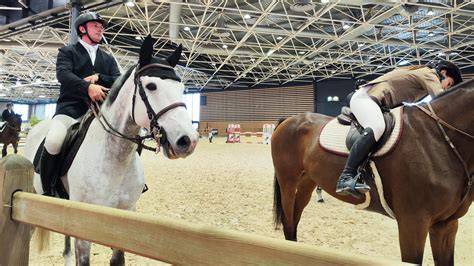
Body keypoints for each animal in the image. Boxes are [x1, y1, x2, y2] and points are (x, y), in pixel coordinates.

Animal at [23, 35, 198, 266]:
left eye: (182, 88)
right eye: (151, 86)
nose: (188, 140)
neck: (115, 158)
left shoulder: (123, 217)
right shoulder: (85, 224)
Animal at [272, 80, 472, 264]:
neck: (438, 138)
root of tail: (289, 119)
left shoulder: (445, 225)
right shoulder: (413, 223)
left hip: (307, 182)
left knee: (295, 221)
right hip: (288, 182)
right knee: (288, 223)